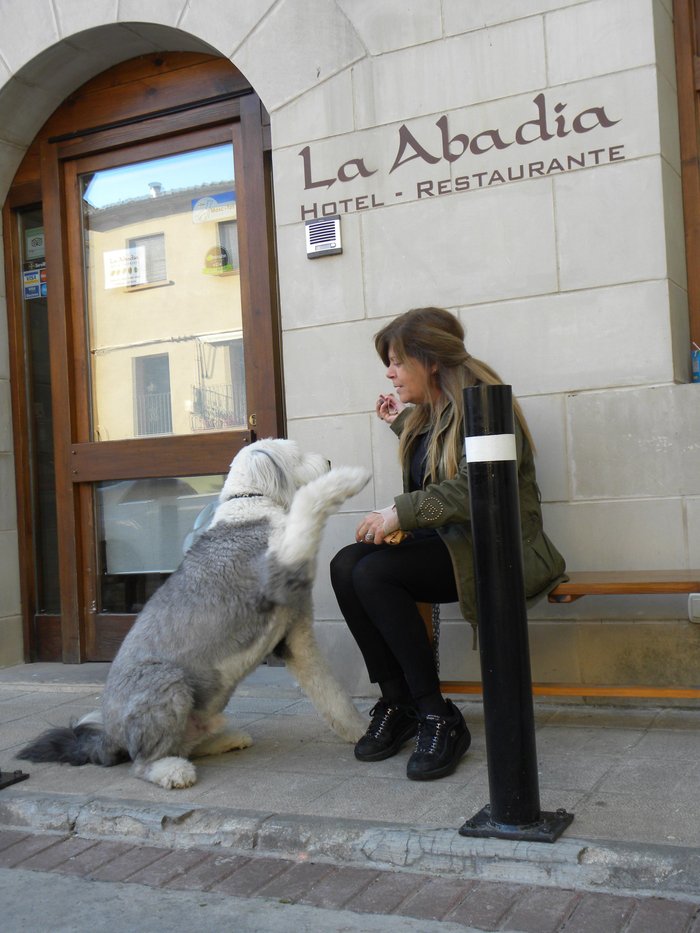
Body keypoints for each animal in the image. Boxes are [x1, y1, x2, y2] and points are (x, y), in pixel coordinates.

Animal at [16, 440, 370, 792]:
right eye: (297, 453)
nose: (328, 461)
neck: (251, 504)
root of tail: (110, 737)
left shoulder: (294, 638)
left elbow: (330, 691)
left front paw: (359, 730)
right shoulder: (279, 569)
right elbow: (308, 503)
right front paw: (350, 478)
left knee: (186, 744)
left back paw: (227, 739)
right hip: (166, 680)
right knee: (144, 763)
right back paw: (173, 771)